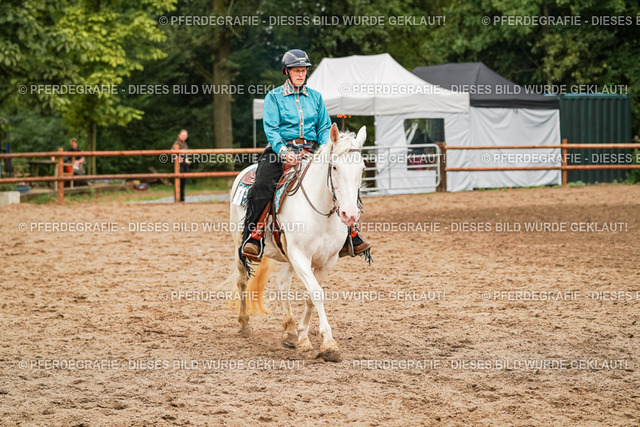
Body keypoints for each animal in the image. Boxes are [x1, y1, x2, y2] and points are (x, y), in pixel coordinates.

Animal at [226, 123, 367, 362]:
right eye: (335, 167)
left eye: (362, 169)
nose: (350, 215)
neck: (321, 213)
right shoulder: (300, 256)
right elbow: (316, 293)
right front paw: (329, 344)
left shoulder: (327, 261)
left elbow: (311, 295)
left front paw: (302, 336)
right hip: (240, 245)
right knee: (242, 280)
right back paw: (244, 323)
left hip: (287, 257)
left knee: (282, 285)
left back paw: (289, 331)